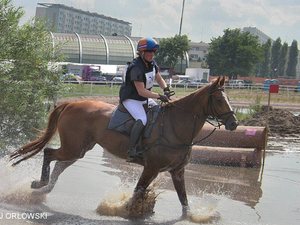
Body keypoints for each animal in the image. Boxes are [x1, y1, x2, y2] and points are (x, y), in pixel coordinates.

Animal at [10, 77, 238, 214]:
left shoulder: (177, 171)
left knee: (59, 164)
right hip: (72, 147)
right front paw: (126, 209)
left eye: (228, 97)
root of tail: (71, 103)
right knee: (49, 153)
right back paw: (39, 184)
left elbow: (184, 200)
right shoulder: (151, 168)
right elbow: (138, 190)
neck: (175, 125)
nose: (234, 124)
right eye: (219, 99)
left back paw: (44, 189)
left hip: (79, 149)